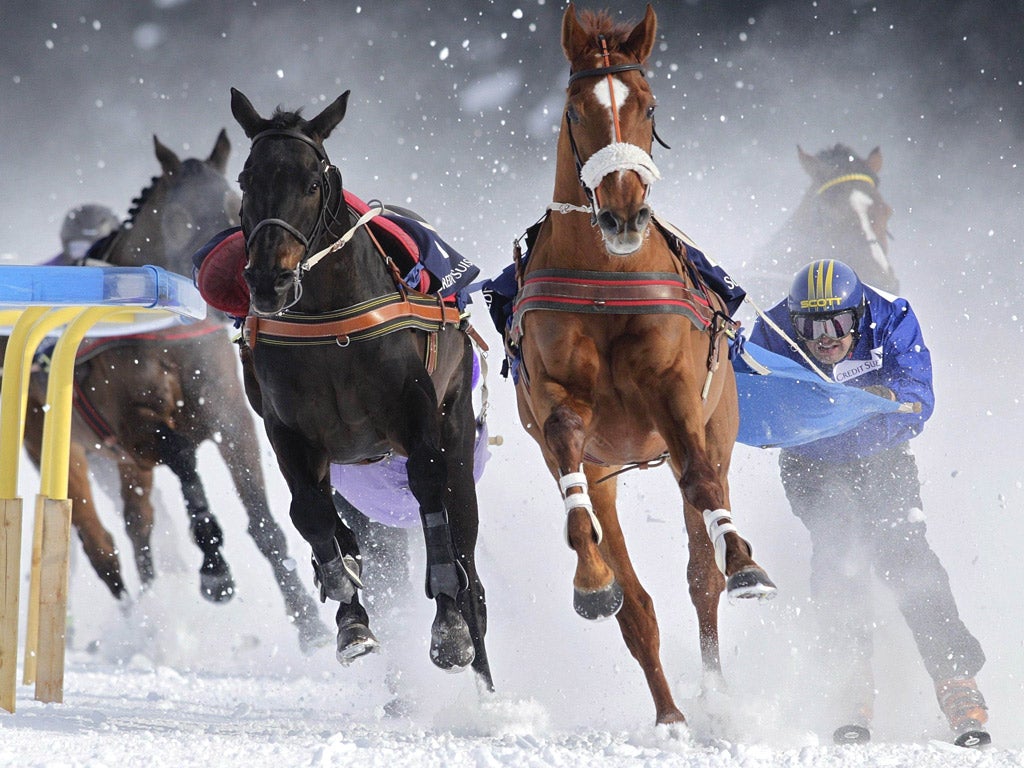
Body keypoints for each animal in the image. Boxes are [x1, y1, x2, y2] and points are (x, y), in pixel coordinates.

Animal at [8, 135, 327, 651]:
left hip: (118, 463)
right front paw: (215, 571)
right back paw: (139, 625)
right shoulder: (133, 425)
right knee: (101, 547)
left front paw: (309, 621)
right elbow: (182, 458)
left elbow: (262, 520)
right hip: (56, 444)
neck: (165, 333)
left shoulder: (230, 418)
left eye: (233, 203)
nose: (242, 283)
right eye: (179, 214)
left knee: (139, 526)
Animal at [229, 87, 491, 688]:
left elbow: (430, 489)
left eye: (312, 182)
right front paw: (351, 618)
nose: (269, 280)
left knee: (464, 539)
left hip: (459, 421)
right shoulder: (288, 429)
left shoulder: (417, 414)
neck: (331, 324)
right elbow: (311, 512)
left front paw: (449, 629)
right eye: (247, 179)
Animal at [509, 4, 774, 729]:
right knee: (636, 605)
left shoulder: (676, 393)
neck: (606, 280)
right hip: (606, 471)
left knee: (701, 569)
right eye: (575, 110)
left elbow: (704, 489)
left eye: (648, 105)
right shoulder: (557, 401)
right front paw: (592, 581)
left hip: (718, 426)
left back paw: (712, 687)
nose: (624, 212)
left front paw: (746, 565)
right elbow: (566, 442)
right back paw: (670, 711)